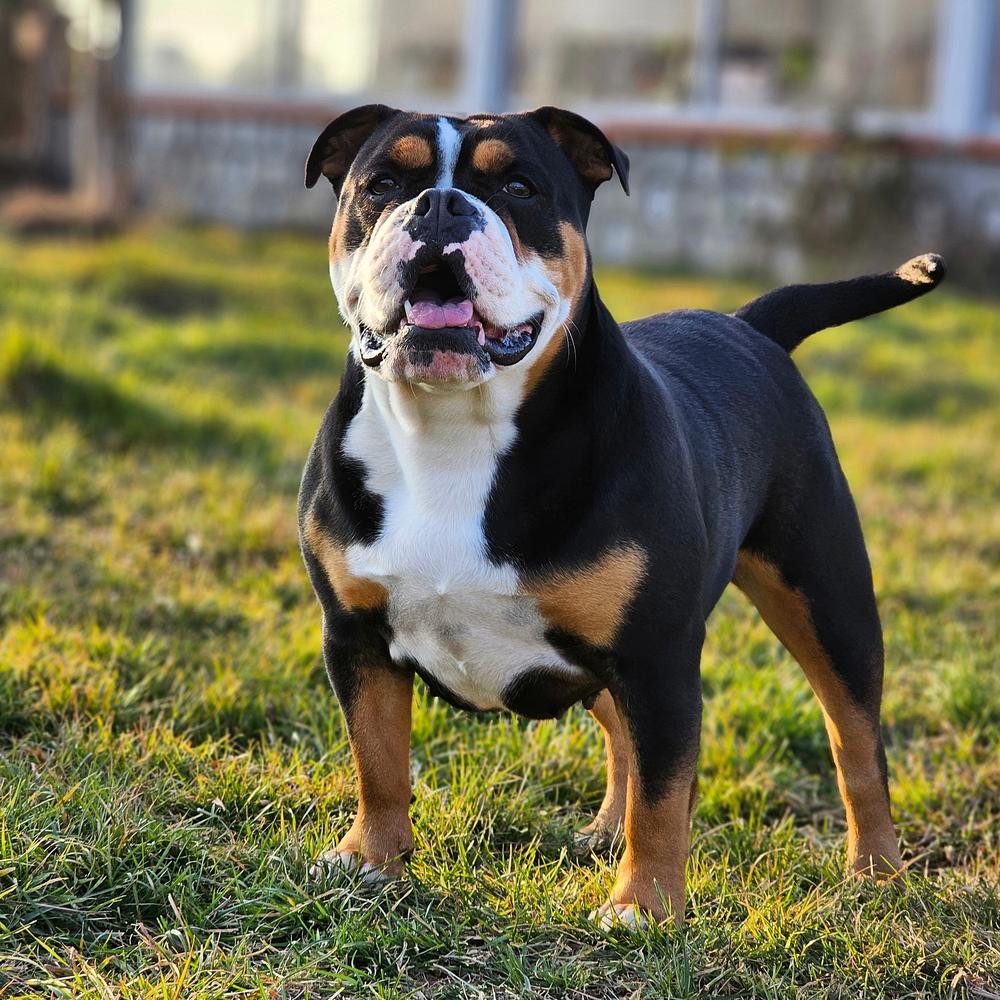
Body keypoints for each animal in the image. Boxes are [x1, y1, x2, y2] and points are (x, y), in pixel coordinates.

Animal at [296, 105, 944, 924]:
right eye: (381, 184)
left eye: (519, 186)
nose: (438, 206)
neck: (453, 430)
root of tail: (751, 325)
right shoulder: (354, 636)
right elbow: (377, 757)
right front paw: (370, 859)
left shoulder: (656, 653)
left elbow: (664, 792)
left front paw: (646, 904)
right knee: (620, 738)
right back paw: (606, 831)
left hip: (826, 599)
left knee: (855, 738)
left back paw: (877, 871)